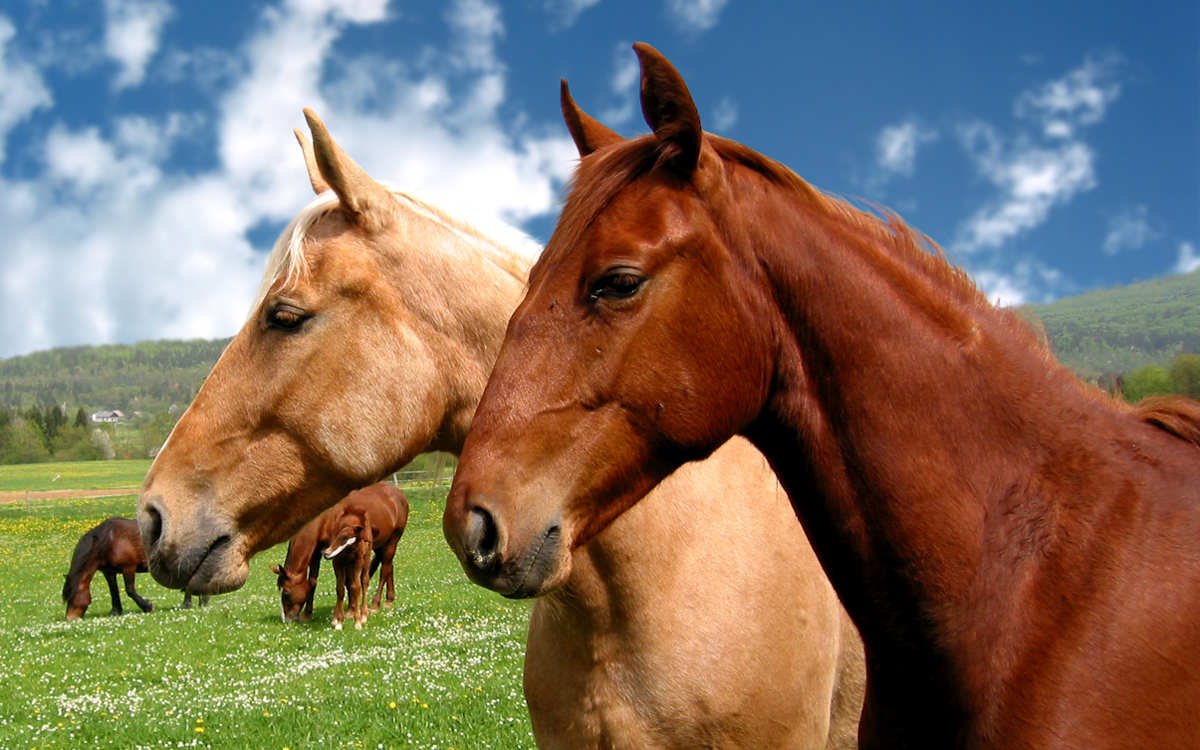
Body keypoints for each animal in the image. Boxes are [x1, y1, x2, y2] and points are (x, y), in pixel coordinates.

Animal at [63, 518, 206, 619]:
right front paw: (115, 611)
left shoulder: (128, 568)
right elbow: (113, 591)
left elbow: (130, 590)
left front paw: (147, 607)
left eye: (72, 597)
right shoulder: (109, 572)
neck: (109, 540)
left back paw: (190, 604)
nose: (70, 618)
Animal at [271, 480, 410, 624]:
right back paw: (389, 599)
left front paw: (350, 611)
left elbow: (348, 582)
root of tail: (397, 493)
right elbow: (312, 582)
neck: (326, 517)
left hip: (392, 541)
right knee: (388, 567)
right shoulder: (317, 553)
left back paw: (376, 604)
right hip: (380, 545)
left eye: (286, 593)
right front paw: (307, 614)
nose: (286, 619)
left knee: (384, 571)